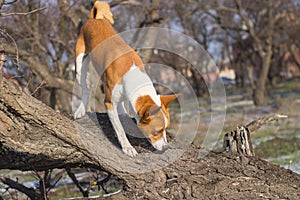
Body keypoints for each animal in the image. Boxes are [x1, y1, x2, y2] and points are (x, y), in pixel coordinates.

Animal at [74, 1, 177, 158]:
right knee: (85, 88)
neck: (131, 71)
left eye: (166, 129)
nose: (165, 148)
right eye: (157, 131)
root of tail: (94, 19)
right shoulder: (109, 103)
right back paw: (80, 110)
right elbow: (120, 129)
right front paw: (128, 147)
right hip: (80, 66)